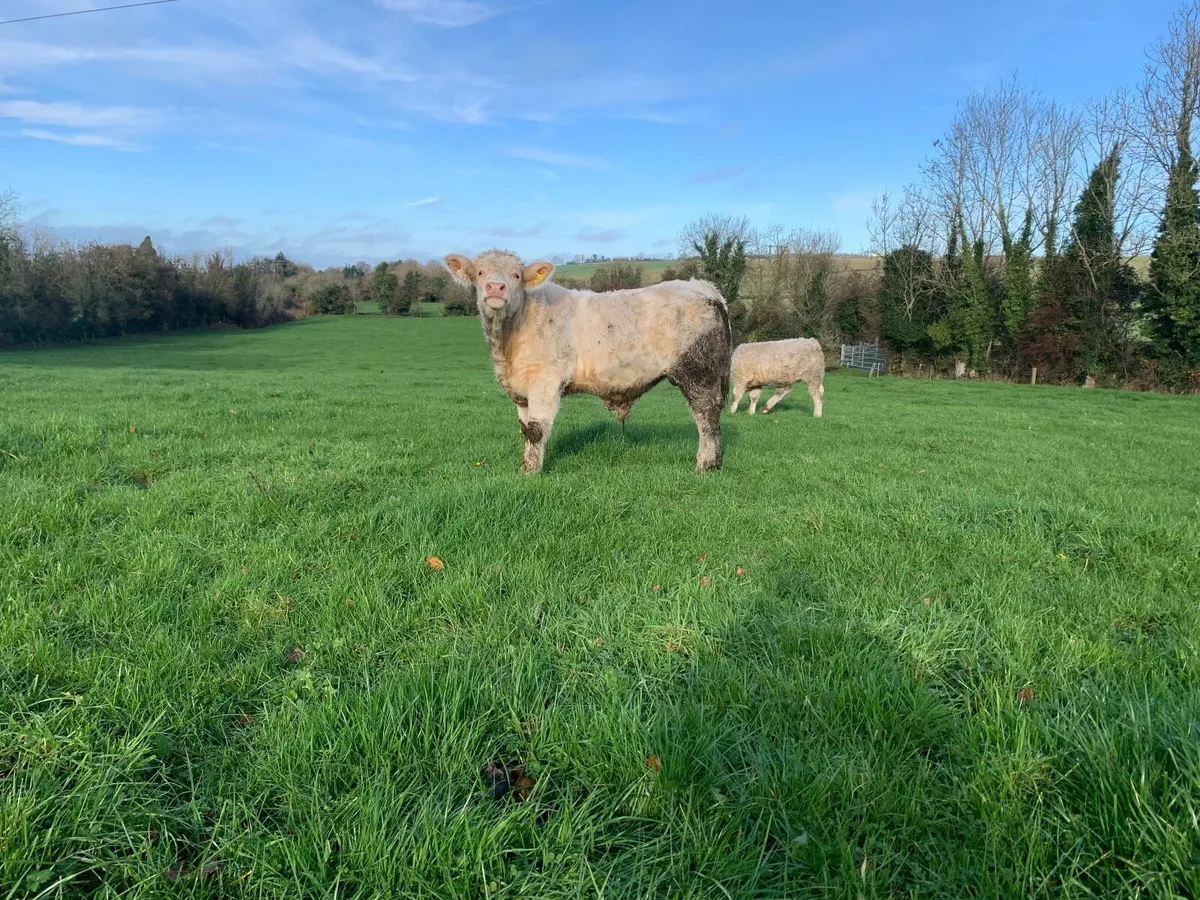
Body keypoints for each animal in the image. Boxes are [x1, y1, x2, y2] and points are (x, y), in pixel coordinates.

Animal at [443, 249, 731, 475]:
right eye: (480, 272)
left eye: (516, 275)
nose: (495, 288)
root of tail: (702, 287)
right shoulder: (522, 389)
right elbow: (525, 429)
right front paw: (525, 466)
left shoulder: (545, 382)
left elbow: (536, 429)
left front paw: (532, 473)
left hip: (698, 371)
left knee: (706, 417)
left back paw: (705, 465)